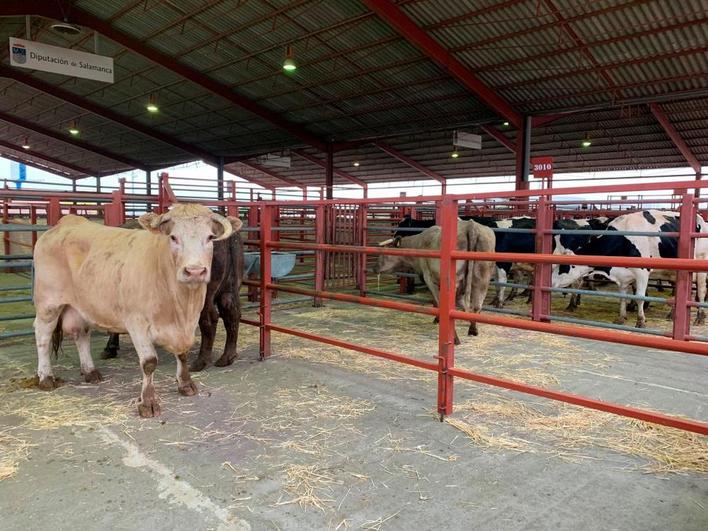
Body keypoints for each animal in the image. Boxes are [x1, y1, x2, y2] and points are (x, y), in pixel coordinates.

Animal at [33, 206, 239, 418]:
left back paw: (90, 371)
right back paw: (46, 377)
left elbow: (182, 353)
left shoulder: (186, 326)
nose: (195, 271)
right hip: (48, 304)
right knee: (43, 337)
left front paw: (186, 384)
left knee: (81, 334)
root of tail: (66, 223)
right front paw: (148, 403)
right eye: (173, 237)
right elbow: (149, 363)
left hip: (81, 306)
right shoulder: (137, 323)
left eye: (210, 237)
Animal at [552, 211, 708, 328]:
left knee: (700, 290)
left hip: (700, 267)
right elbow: (622, 297)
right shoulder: (623, 276)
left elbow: (639, 297)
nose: (551, 282)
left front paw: (641, 321)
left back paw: (700, 317)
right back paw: (673, 314)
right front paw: (621, 317)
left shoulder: (642, 272)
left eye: (563, 266)